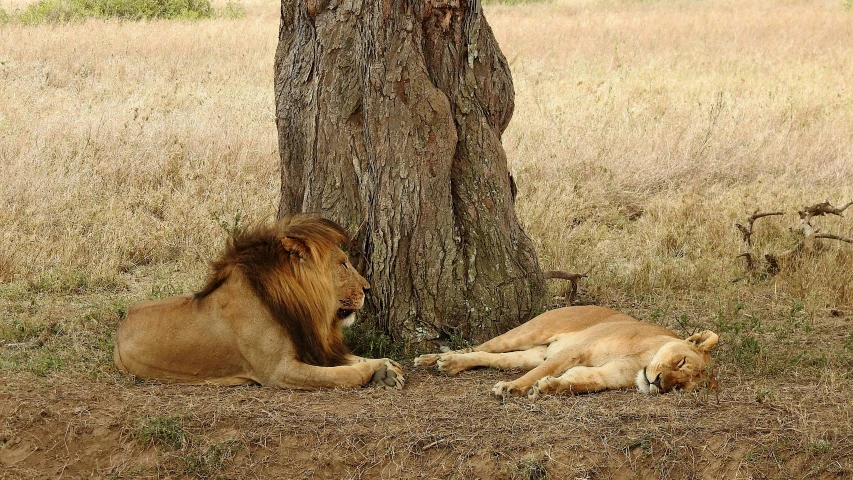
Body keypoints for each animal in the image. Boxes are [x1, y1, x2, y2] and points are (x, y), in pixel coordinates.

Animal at [113, 218, 402, 390]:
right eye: (343, 263)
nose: (367, 289)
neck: (299, 304)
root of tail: (123, 322)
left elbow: (351, 358)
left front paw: (386, 367)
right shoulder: (278, 372)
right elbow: (343, 374)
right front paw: (373, 371)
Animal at [412, 306, 712, 400]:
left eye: (679, 386)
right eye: (681, 361)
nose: (658, 383)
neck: (643, 359)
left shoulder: (606, 376)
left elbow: (577, 382)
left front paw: (547, 388)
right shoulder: (576, 349)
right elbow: (540, 372)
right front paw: (512, 388)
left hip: (529, 353)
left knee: (489, 358)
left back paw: (449, 364)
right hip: (527, 333)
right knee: (480, 346)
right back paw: (432, 359)